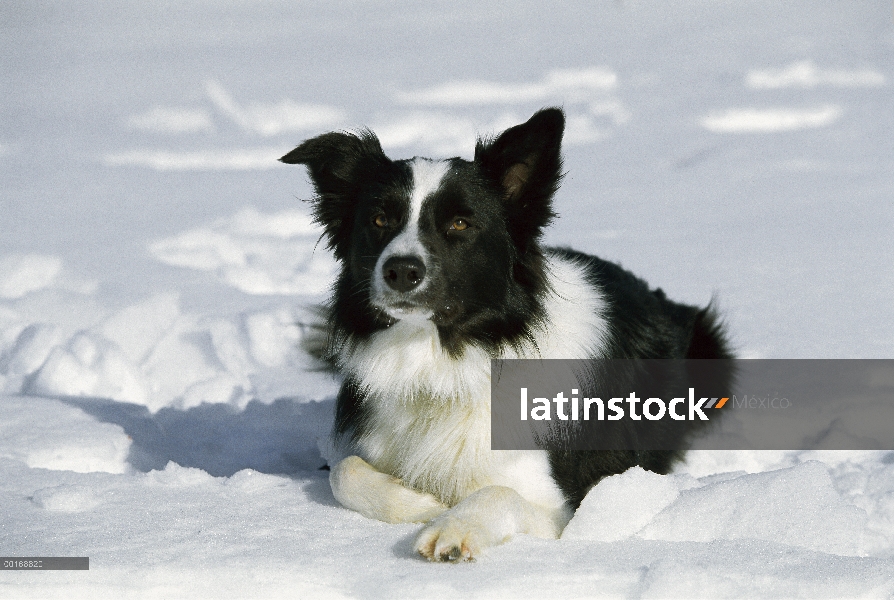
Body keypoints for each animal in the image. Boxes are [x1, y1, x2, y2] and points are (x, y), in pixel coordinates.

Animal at [282, 108, 736, 564]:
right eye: (379, 220)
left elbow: (499, 492)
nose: (402, 271)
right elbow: (344, 471)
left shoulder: (560, 508)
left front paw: (450, 527)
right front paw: (418, 503)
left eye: (460, 223)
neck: (442, 362)